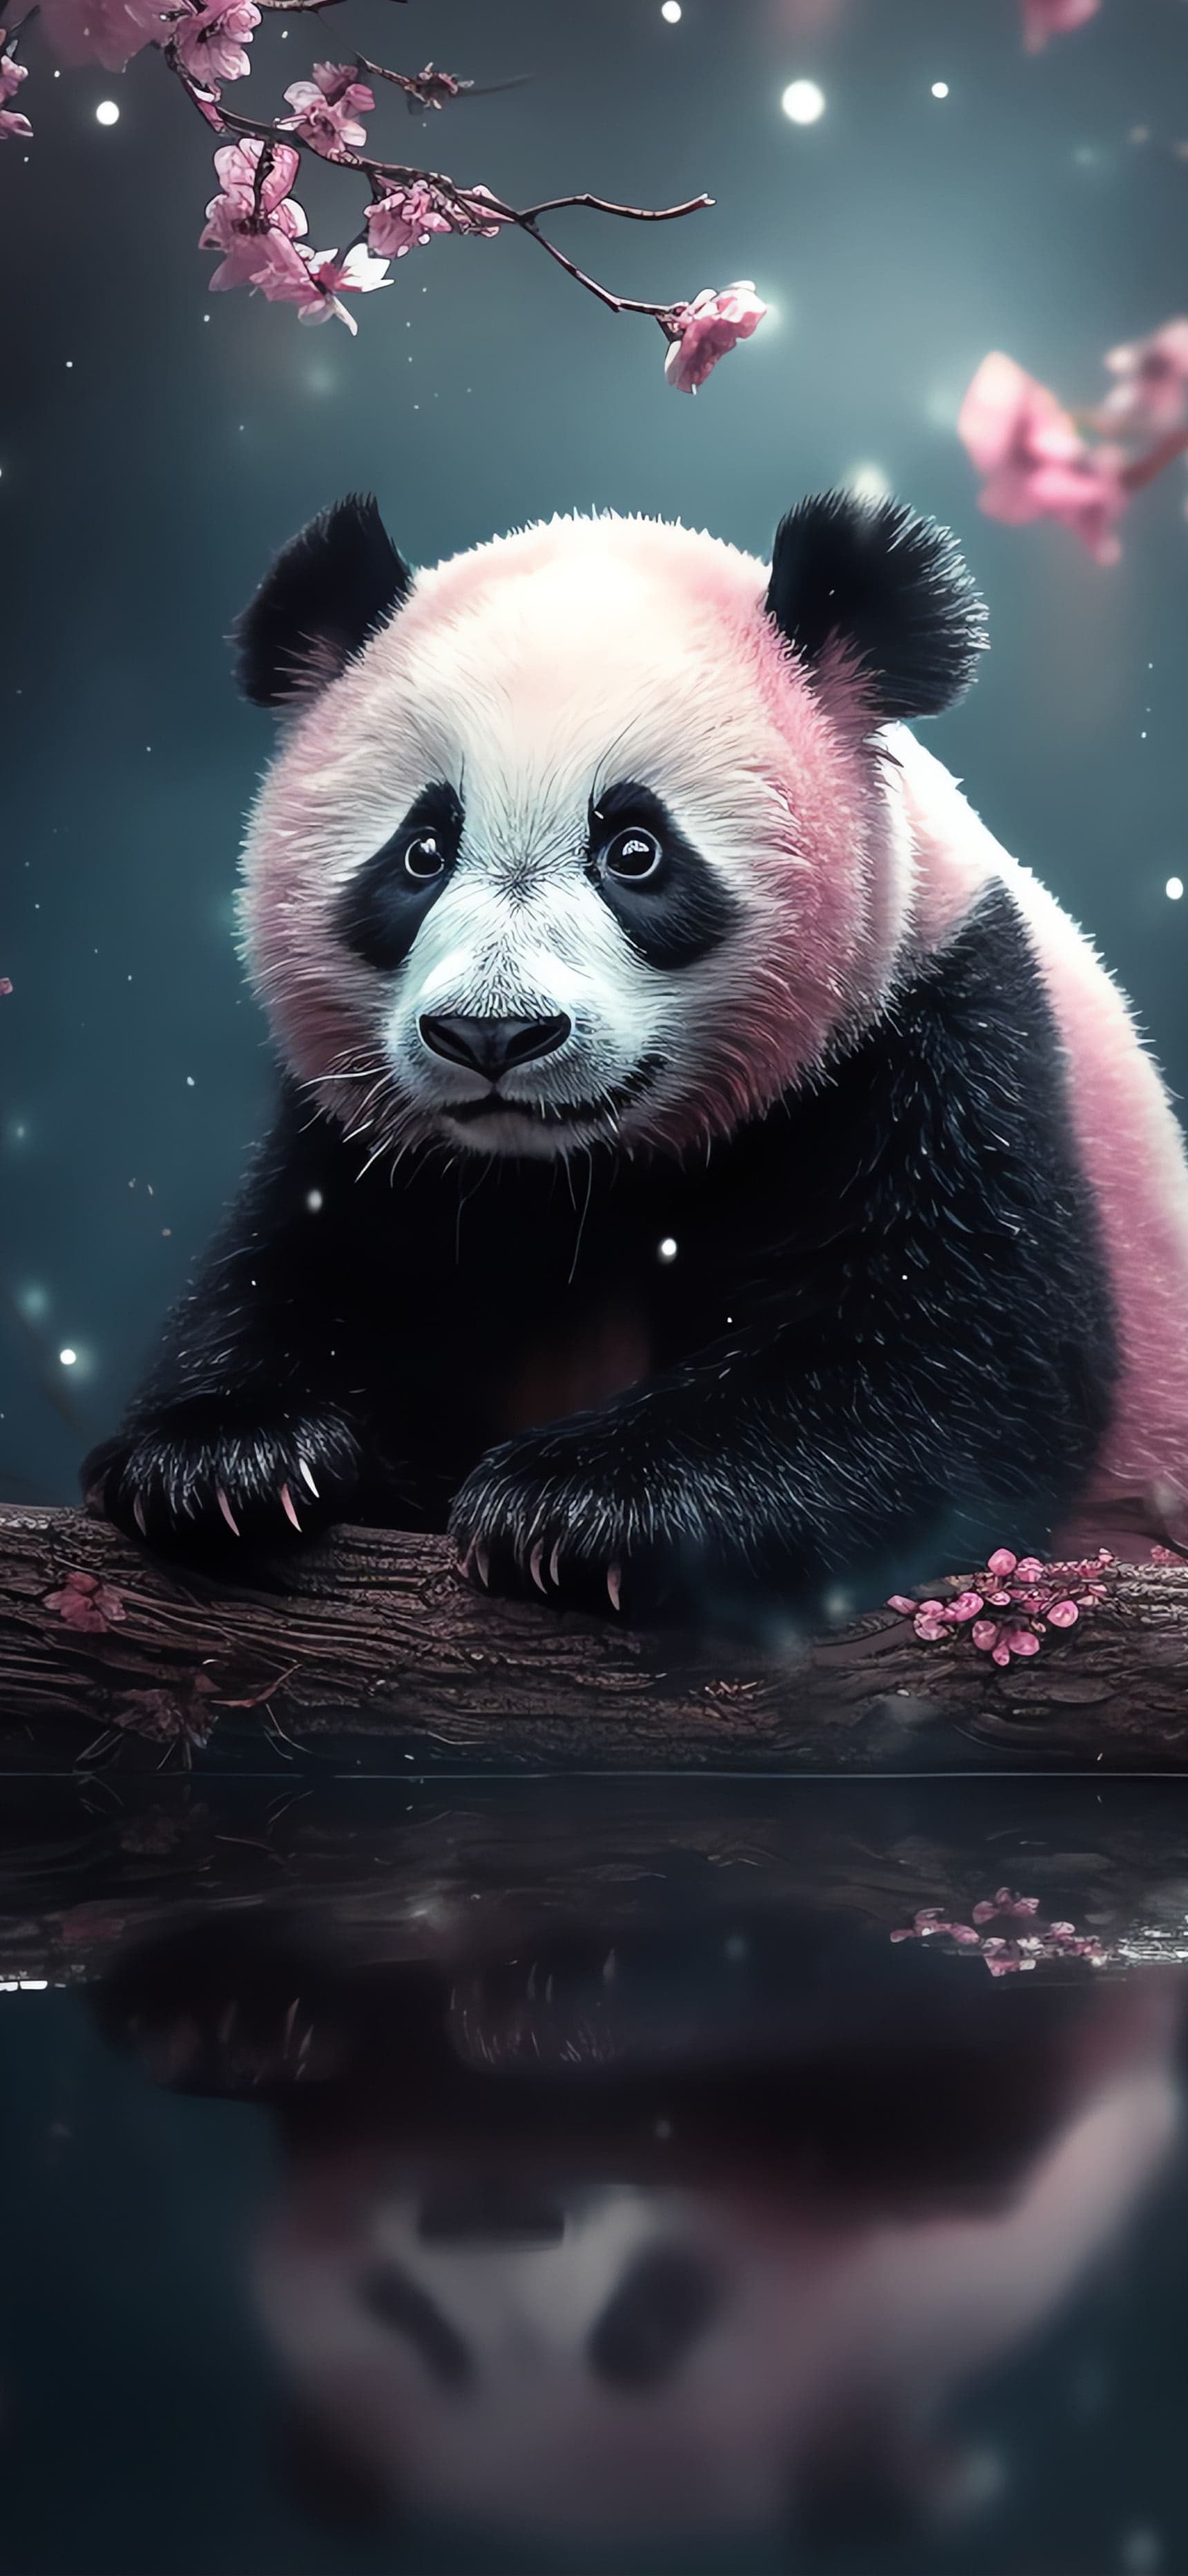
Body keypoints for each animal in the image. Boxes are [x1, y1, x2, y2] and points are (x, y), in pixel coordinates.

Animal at [84, 489, 1188, 1623]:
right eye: (422, 851)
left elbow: (945, 1352)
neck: (585, 1174)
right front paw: (224, 1461)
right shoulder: (362, 1126)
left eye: (635, 852)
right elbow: (310, 1267)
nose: (492, 1034)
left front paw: (573, 1506)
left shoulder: (938, 1027)